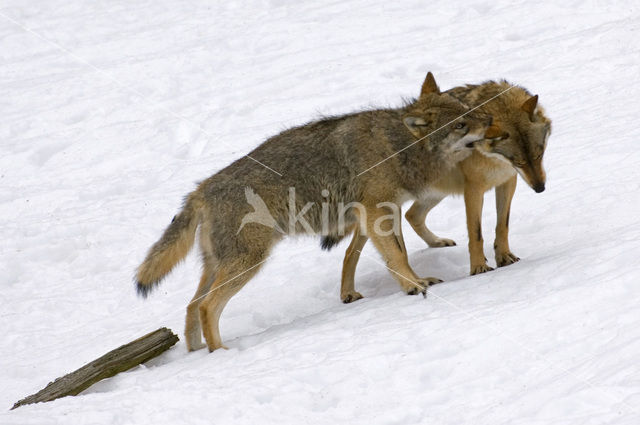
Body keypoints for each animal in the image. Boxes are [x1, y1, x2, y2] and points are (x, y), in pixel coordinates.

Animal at [135, 73, 492, 352]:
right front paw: (415, 287)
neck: (397, 147)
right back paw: (221, 353)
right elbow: (397, 256)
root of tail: (201, 189)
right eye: (462, 124)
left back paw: (197, 353)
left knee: (192, 306)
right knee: (208, 307)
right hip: (247, 263)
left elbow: (378, 254)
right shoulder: (377, 211)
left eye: (467, 112)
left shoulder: (378, 214)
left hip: (218, 265)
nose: (490, 121)